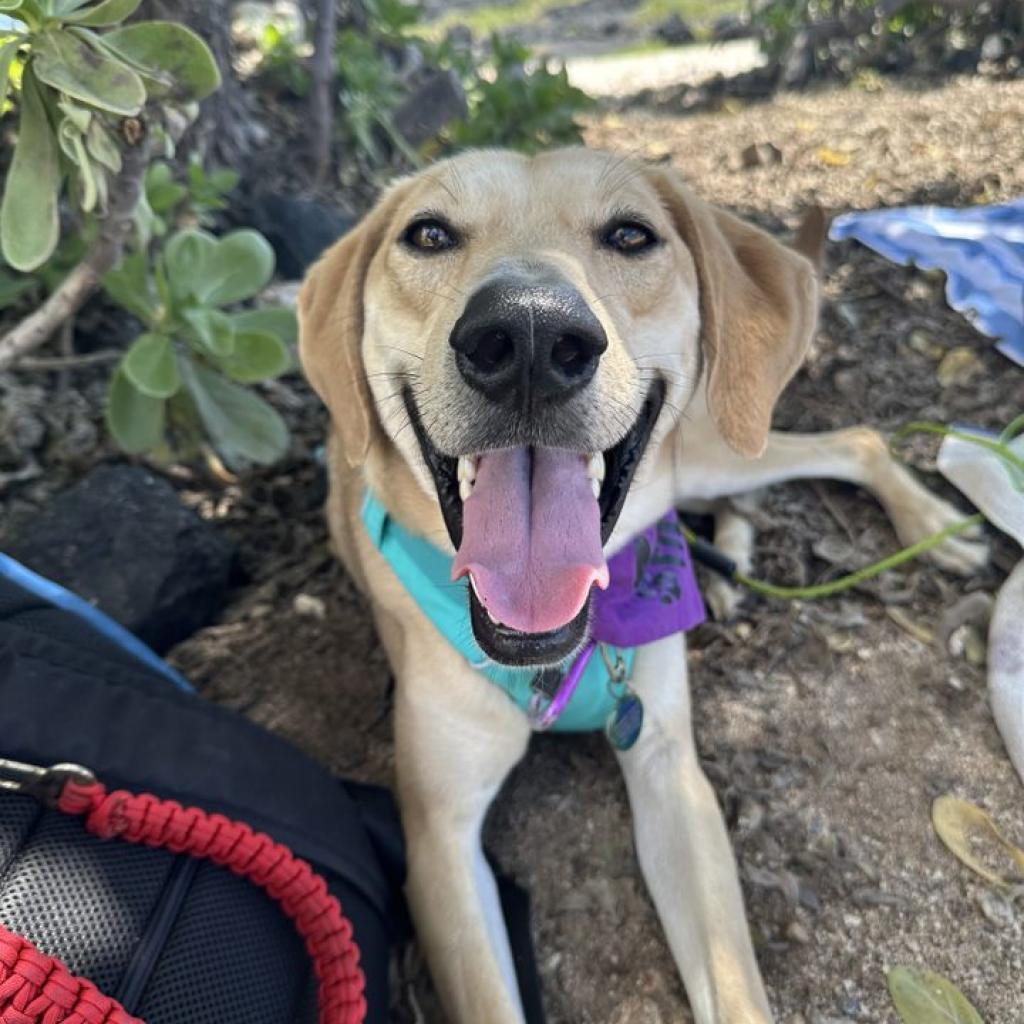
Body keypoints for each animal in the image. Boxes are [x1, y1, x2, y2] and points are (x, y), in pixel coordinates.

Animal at [299, 148, 987, 1019]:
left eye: (632, 235)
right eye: (428, 234)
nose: (529, 334)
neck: (553, 657)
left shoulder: (672, 773)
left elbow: (733, 987)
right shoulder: (439, 843)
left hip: (719, 440)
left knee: (853, 440)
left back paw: (928, 524)